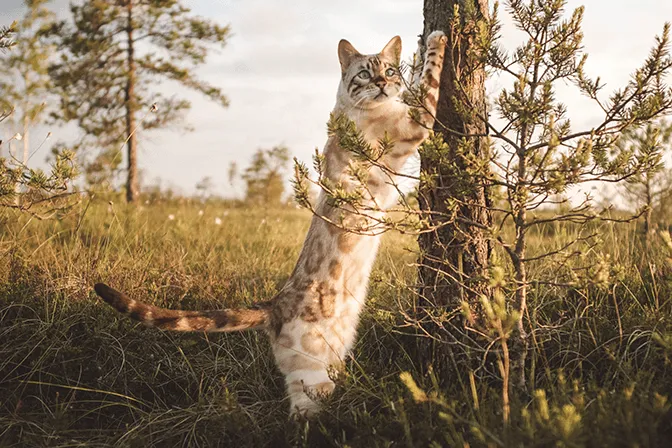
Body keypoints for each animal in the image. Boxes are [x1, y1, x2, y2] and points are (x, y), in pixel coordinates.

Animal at [94, 30, 446, 416]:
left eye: (389, 70)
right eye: (366, 74)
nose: (383, 83)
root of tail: (273, 305)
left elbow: (417, 79)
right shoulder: (415, 122)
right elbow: (429, 76)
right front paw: (436, 38)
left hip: (323, 368)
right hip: (315, 379)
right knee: (302, 417)